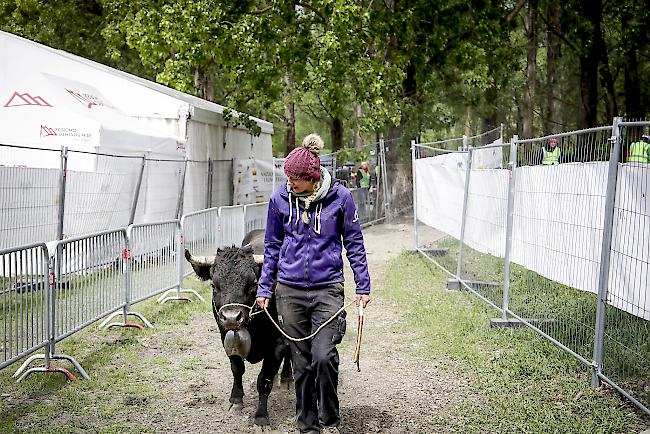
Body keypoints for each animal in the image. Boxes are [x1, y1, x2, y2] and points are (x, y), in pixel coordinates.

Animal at [185, 231, 292, 428]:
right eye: (214, 285)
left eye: (254, 283)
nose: (231, 318)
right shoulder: (225, 336)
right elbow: (237, 368)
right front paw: (236, 400)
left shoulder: (277, 343)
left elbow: (264, 379)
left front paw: (261, 417)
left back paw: (287, 378)